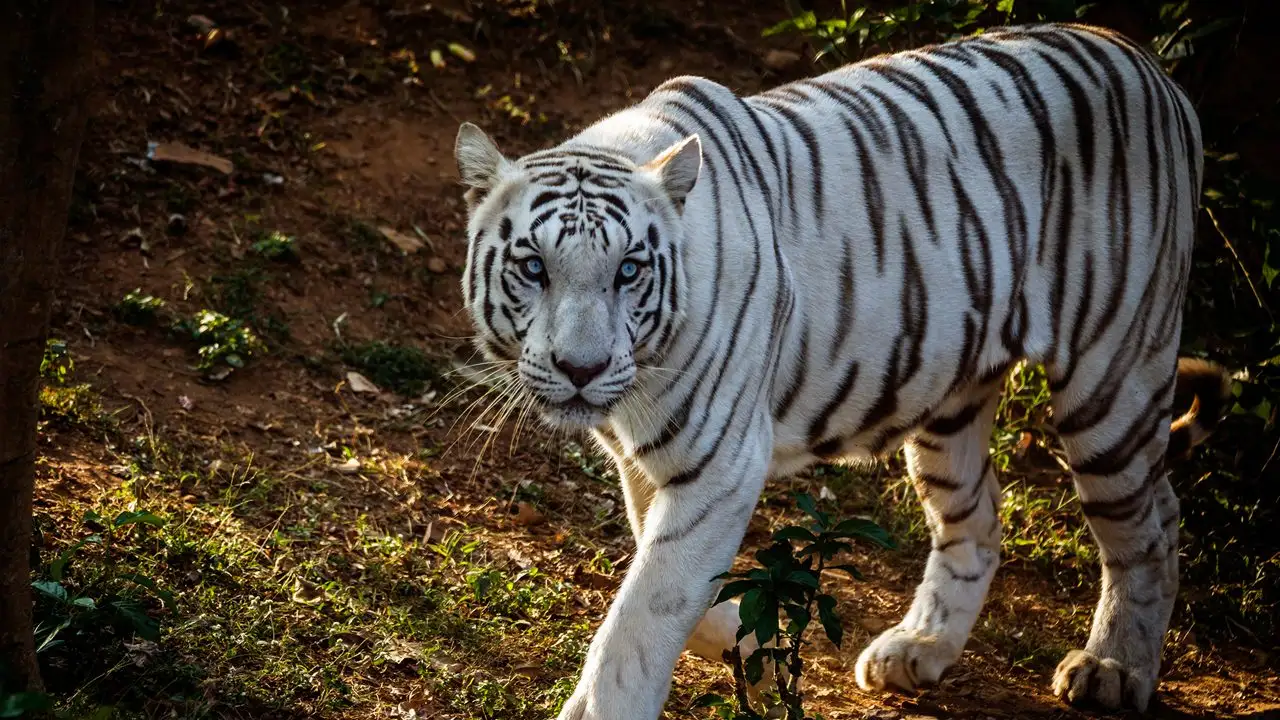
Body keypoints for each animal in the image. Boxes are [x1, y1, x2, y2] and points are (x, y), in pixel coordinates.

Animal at [452, 22, 1228, 719]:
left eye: (629, 271)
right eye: (534, 268)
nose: (581, 368)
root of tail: (1155, 72)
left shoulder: (719, 461)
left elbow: (643, 615)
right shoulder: (650, 466)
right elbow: (675, 582)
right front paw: (755, 652)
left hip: (1112, 381)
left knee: (1153, 523)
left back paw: (1113, 669)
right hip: (950, 401)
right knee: (979, 515)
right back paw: (918, 649)